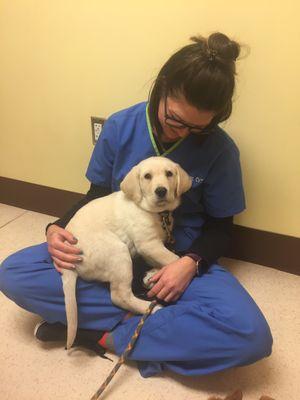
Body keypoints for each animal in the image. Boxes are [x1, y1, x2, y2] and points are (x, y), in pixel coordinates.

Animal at [61, 156, 191, 350]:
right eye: (147, 176)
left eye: (169, 173)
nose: (161, 191)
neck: (156, 213)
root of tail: (71, 266)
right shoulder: (148, 243)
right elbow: (173, 258)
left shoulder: (152, 246)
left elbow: (161, 260)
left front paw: (153, 274)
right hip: (118, 252)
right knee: (119, 296)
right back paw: (151, 308)